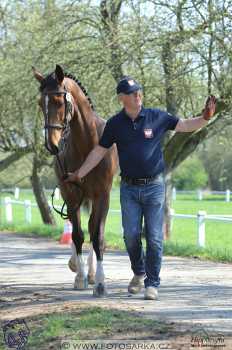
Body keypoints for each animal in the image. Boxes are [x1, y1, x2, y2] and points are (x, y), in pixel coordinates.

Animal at [32, 65, 118, 296]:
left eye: (59, 101)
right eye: (40, 103)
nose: (52, 145)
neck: (88, 145)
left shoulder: (102, 195)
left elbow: (97, 235)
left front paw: (100, 282)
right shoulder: (71, 195)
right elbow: (78, 235)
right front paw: (80, 277)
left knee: (94, 229)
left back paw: (92, 271)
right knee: (76, 227)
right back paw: (76, 266)